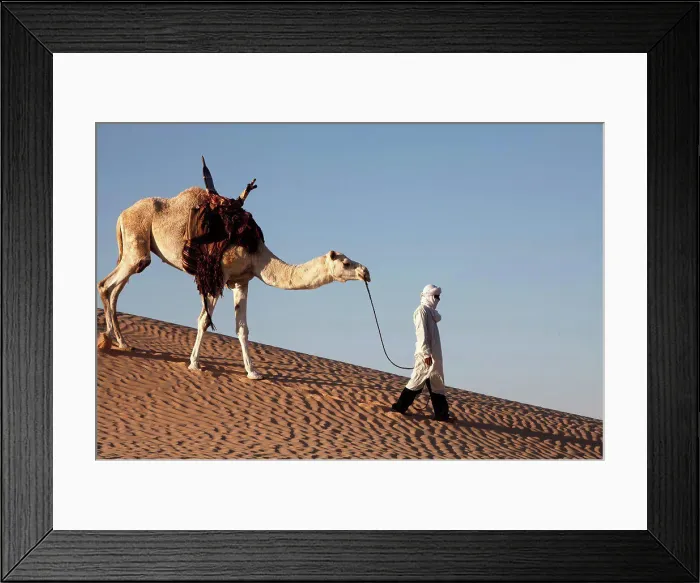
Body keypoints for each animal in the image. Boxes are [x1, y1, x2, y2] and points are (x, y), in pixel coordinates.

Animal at [97, 184, 371, 380]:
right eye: (346, 263)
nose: (366, 272)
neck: (257, 254)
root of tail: (122, 214)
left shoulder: (241, 281)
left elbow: (242, 328)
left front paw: (253, 372)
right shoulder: (219, 274)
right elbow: (204, 320)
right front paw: (194, 364)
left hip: (134, 249)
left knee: (115, 289)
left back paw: (121, 342)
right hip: (137, 245)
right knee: (107, 284)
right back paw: (109, 340)